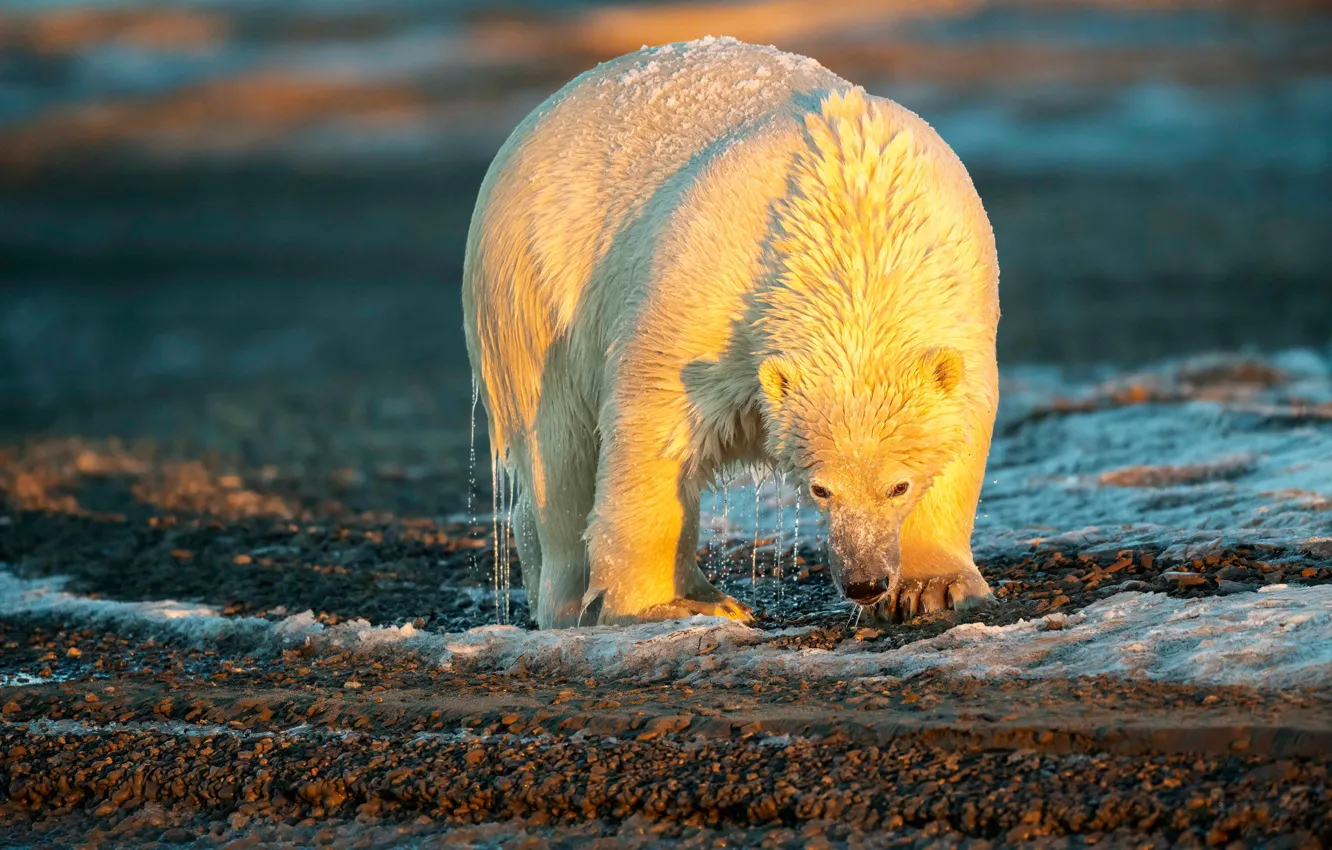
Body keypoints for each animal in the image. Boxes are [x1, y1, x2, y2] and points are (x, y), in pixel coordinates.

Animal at [468, 36, 1001, 628]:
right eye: (820, 488)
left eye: (898, 485)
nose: (864, 581)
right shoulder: (709, 290)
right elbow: (654, 423)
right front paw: (659, 606)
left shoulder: (963, 296)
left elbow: (962, 424)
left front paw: (933, 586)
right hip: (533, 289)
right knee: (557, 451)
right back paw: (598, 601)